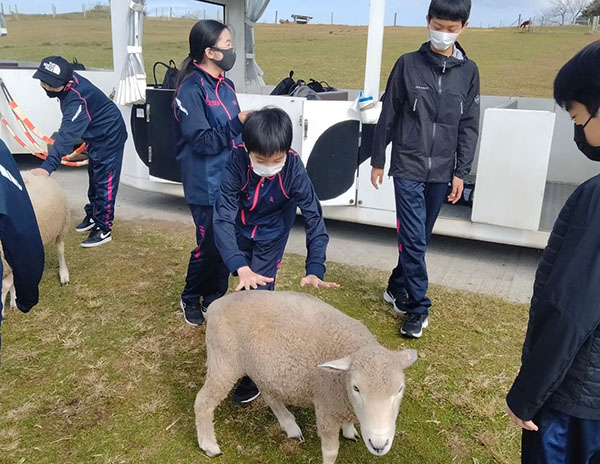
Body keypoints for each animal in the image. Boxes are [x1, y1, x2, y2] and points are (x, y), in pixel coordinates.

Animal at [193, 292, 418, 462]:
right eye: (356, 388)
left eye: (399, 389)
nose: (379, 445)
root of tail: (215, 305)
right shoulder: (326, 409)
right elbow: (331, 452)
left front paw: (348, 429)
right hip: (223, 360)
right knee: (203, 402)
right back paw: (209, 445)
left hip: (260, 366)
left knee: (269, 394)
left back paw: (289, 424)